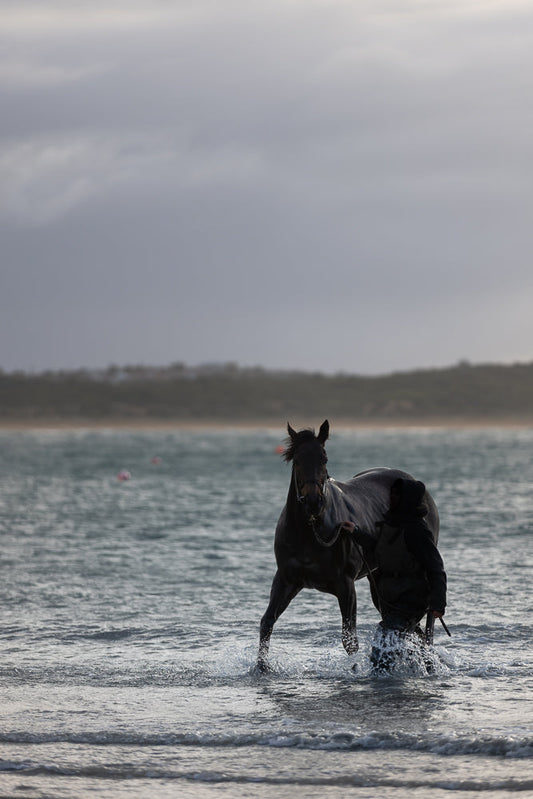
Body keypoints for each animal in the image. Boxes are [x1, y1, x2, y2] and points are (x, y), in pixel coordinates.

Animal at [257, 420, 440, 670]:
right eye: (297, 460)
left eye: (324, 458)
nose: (313, 502)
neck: (311, 532)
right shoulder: (286, 580)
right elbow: (267, 622)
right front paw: (261, 667)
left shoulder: (345, 586)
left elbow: (350, 640)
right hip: (378, 584)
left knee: (426, 627)